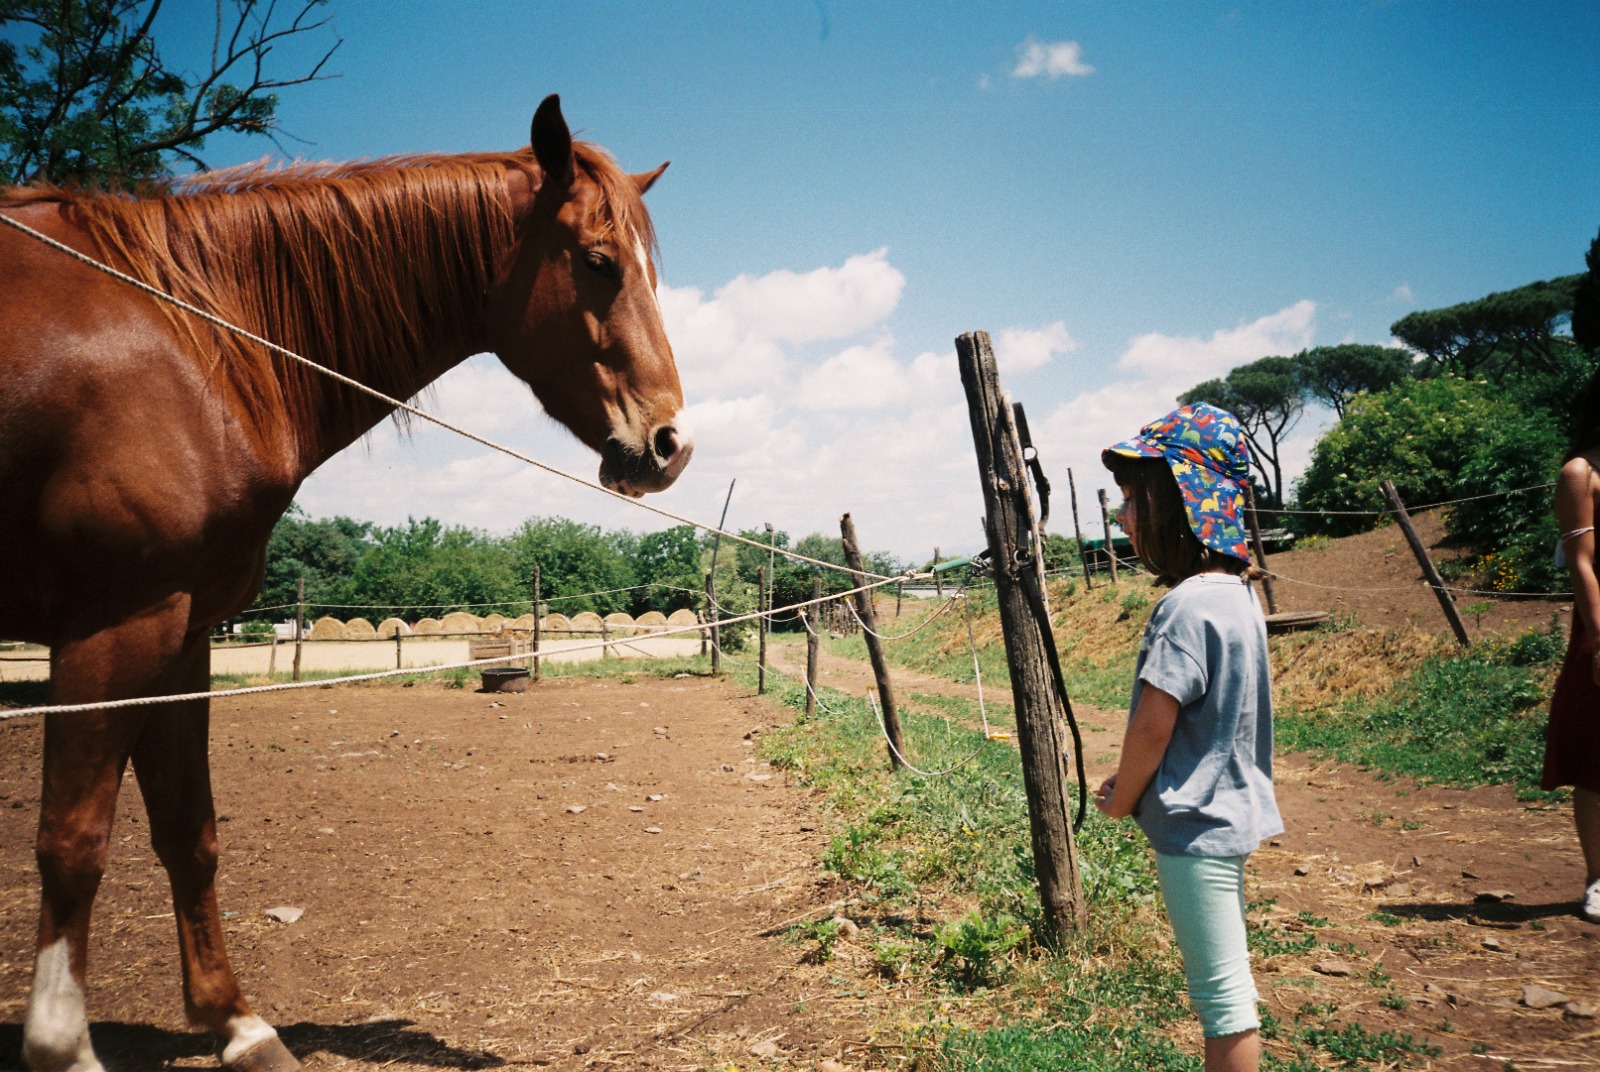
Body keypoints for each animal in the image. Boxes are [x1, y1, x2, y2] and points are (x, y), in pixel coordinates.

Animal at [0, 95, 691, 1072]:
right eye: (598, 262)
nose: (671, 445)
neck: (197, 342)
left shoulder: (178, 630)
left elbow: (187, 830)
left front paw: (239, 1025)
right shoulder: (112, 625)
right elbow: (73, 840)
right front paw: (63, 1046)